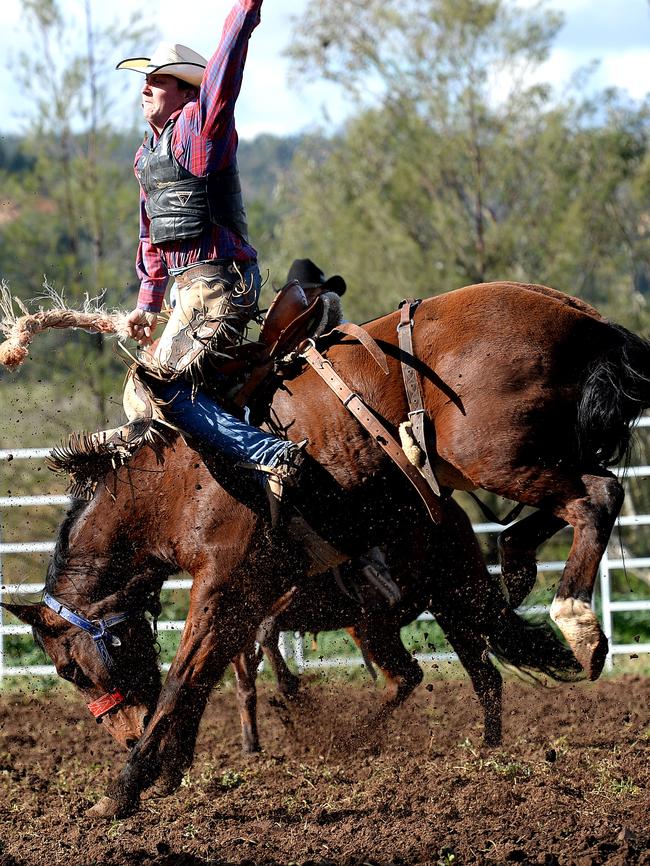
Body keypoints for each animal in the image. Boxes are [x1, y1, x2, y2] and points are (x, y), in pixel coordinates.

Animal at [6, 284, 648, 816]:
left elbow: (183, 678)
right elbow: (211, 675)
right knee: (495, 634)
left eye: (67, 668)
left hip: (494, 458)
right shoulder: (252, 596)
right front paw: (168, 768)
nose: (124, 733)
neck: (172, 483)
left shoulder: (226, 583)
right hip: (480, 525)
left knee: (598, 496)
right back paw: (515, 571)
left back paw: (578, 623)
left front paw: (124, 788)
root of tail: (584, 318)